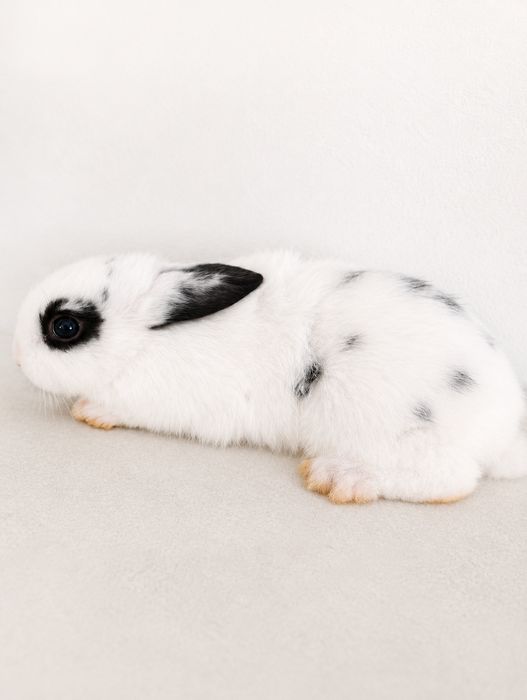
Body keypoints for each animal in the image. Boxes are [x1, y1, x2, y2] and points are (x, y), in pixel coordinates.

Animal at [13, 250, 527, 504]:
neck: (148, 341)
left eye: (64, 327)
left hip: (390, 428)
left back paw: (340, 478)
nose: (16, 360)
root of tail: (506, 431)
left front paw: (90, 411)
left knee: (452, 481)